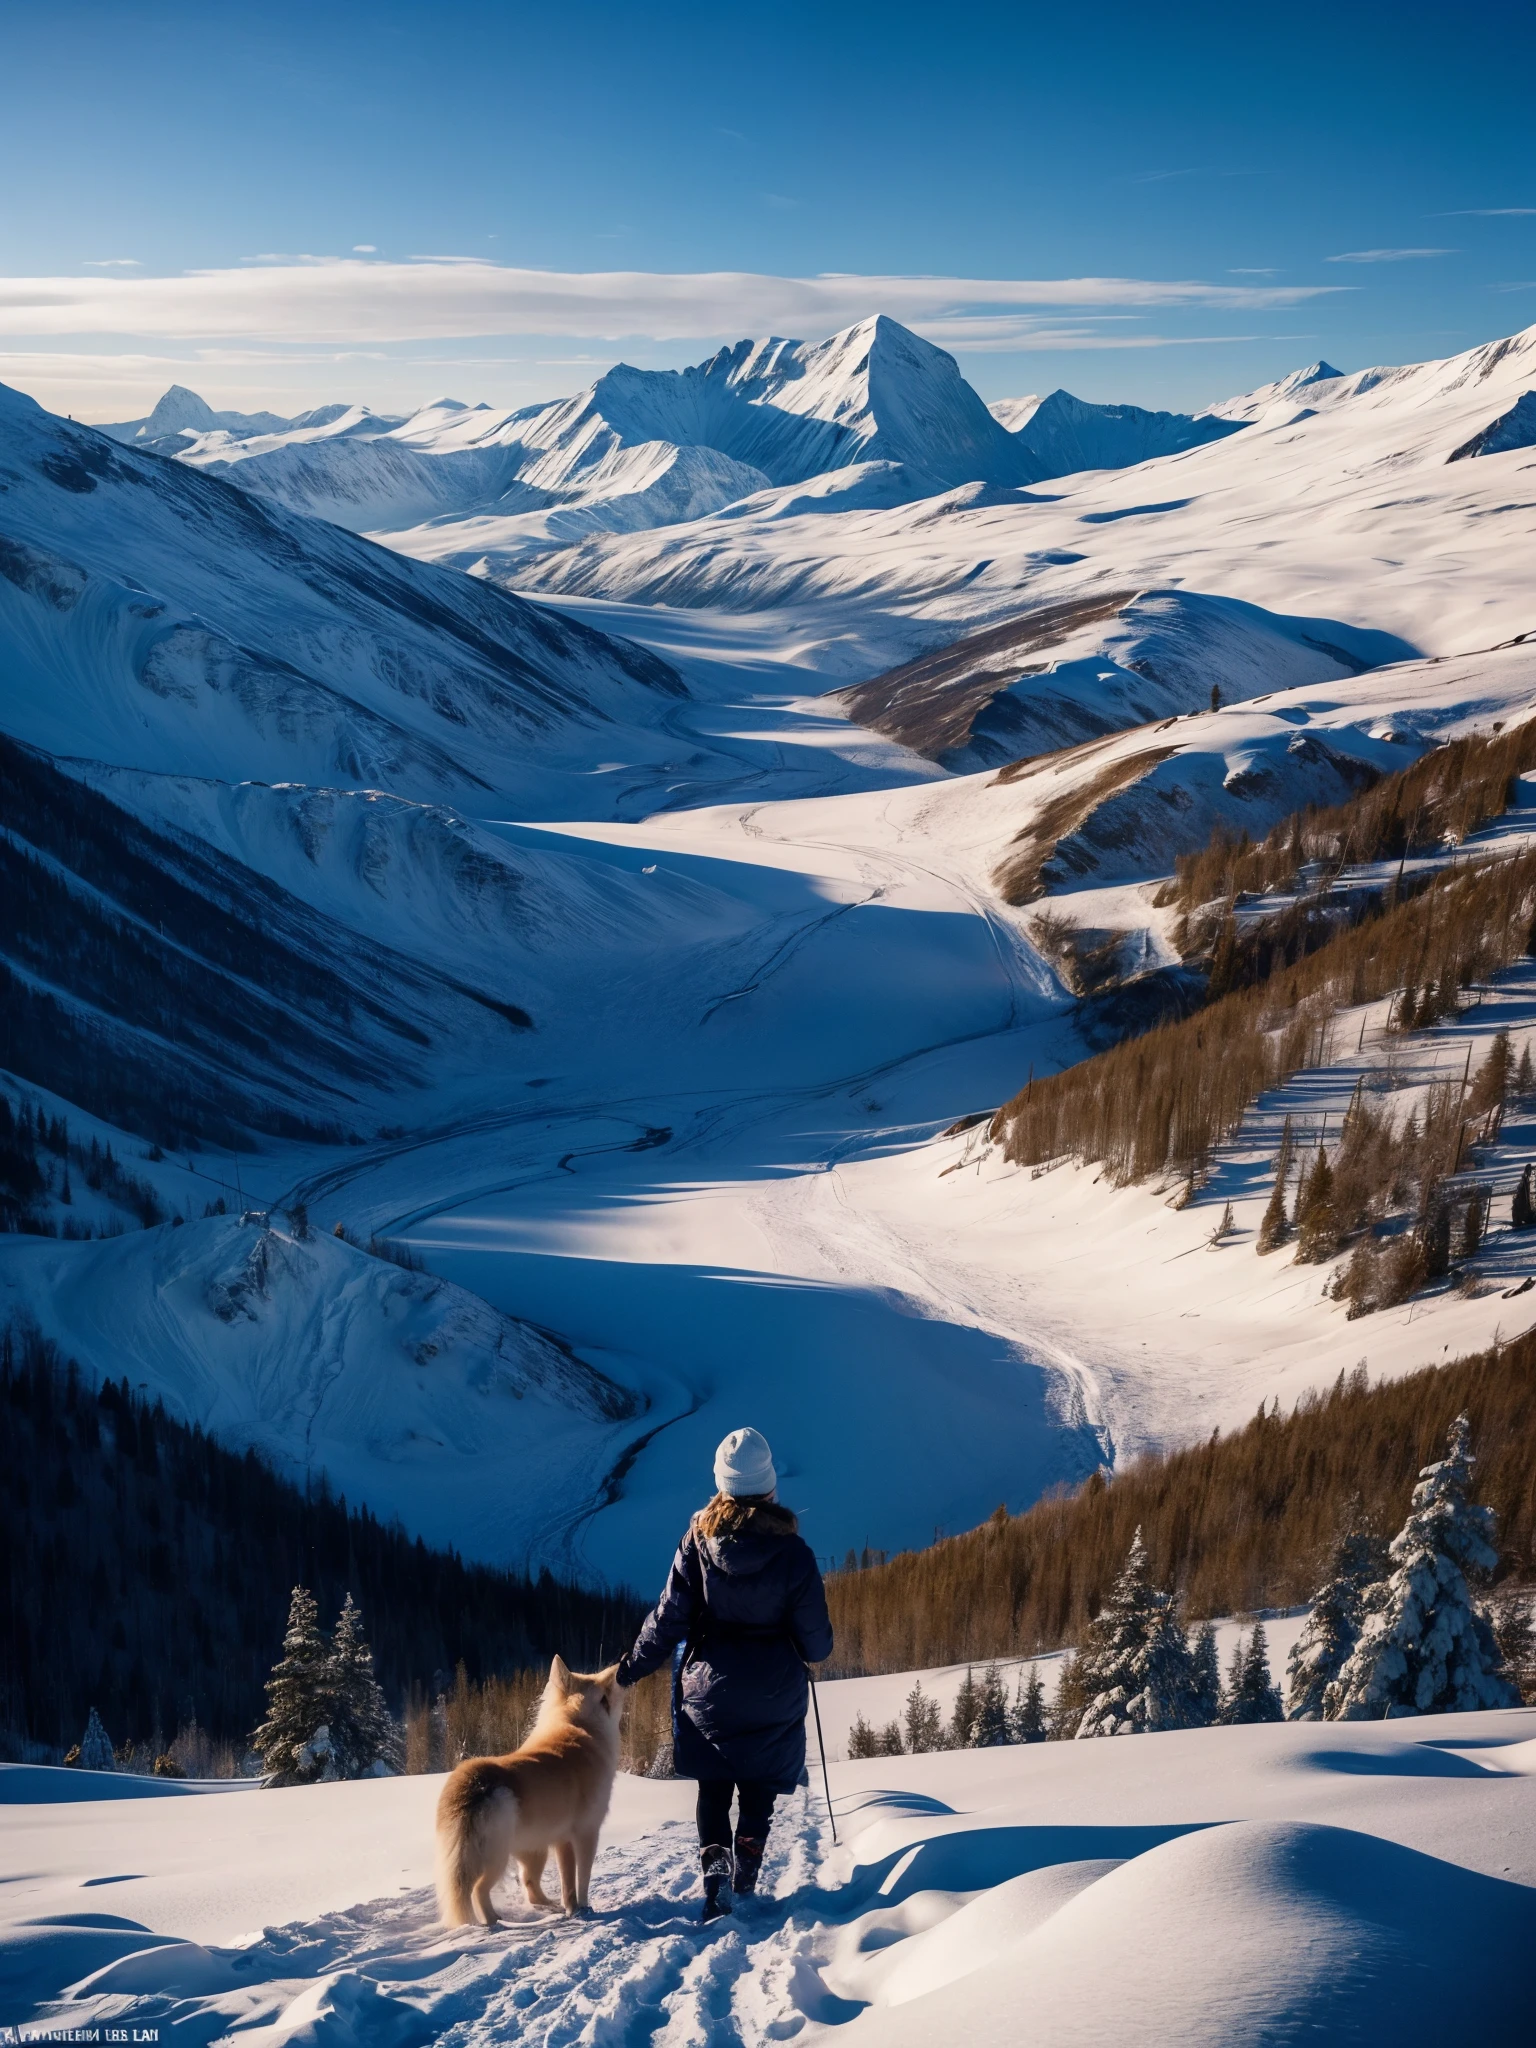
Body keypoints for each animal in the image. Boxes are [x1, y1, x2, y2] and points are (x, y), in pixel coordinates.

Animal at [434, 1654, 626, 1925]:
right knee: (478, 1889)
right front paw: (584, 1909)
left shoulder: (561, 1840)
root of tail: (475, 1782)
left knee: (529, 1885)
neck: (576, 1722)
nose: (622, 1670)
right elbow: (582, 1880)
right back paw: (494, 1921)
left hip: (533, 1850)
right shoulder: (587, 1832)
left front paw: (571, 1909)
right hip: (496, 1855)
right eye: (607, 1692)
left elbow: (568, 1884)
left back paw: (549, 1907)